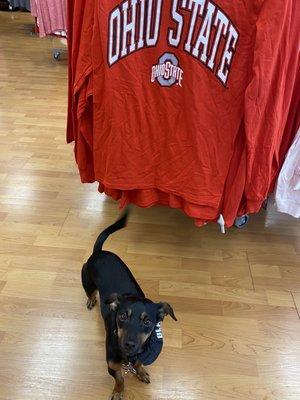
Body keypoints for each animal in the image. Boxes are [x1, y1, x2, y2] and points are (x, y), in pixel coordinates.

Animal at [81, 208, 177, 400]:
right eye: (122, 316)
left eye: (148, 322)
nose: (129, 344)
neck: (129, 356)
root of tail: (98, 252)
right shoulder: (112, 366)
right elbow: (120, 379)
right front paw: (118, 392)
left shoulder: (141, 353)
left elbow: (139, 363)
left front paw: (141, 372)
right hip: (86, 278)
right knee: (90, 291)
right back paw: (91, 299)